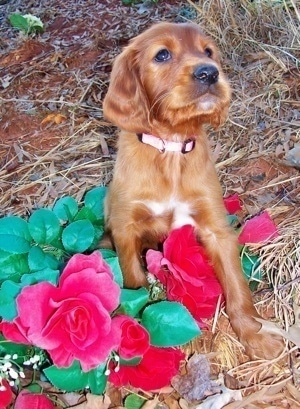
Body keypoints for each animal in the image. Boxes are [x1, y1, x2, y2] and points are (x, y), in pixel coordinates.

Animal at [102, 22, 282, 358]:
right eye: (162, 54)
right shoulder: (125, 228)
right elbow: (134, 279)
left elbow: (236, 285)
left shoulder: (215, 228)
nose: (209, 73)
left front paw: (255, 335)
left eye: (208, 52)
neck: (171, 148)